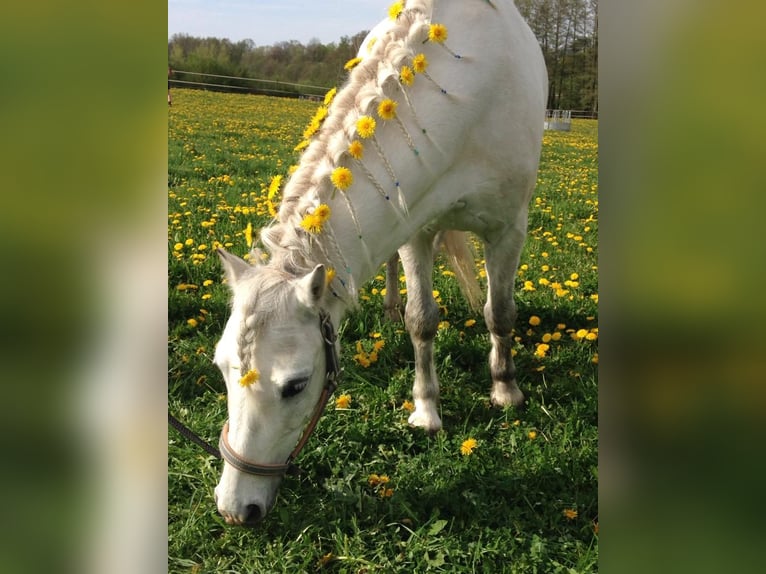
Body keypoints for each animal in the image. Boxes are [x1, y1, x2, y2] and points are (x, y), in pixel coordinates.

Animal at [214, 0, 544, 528]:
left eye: (295, 386)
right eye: (221, 368)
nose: (234, 508)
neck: (472, 98)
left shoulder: (509, 229)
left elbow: (501, 313)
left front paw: (505, 390)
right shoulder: (417, 226)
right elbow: (421, 320)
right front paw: (426, 410)